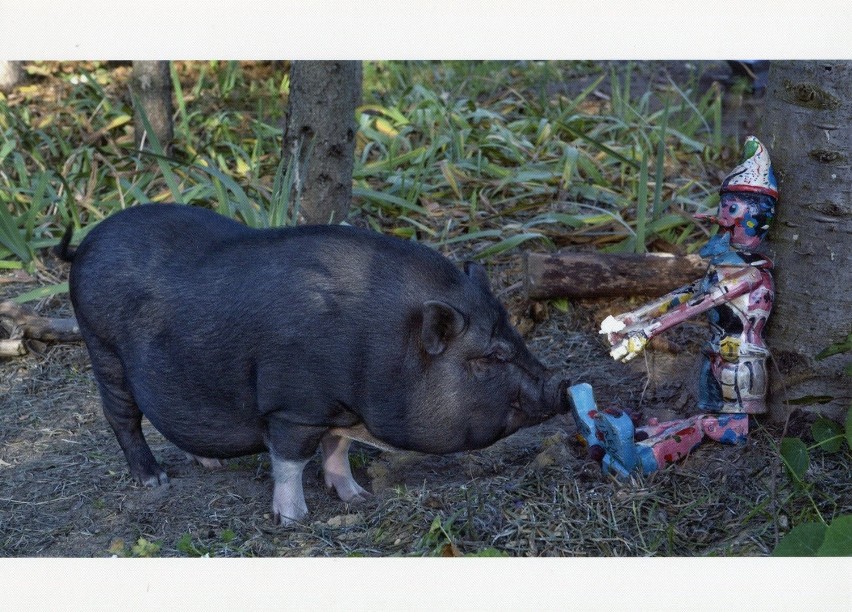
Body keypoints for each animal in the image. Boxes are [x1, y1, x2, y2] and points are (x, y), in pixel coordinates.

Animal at [56, 203, 568, 524]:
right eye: (490, 357)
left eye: (516, 337)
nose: (561, 384)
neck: (381, 342)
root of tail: (87, 242)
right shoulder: (293, 406)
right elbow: (291, 459)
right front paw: (294, 520)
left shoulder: (336, 408)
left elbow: (336, 448)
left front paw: (357, 498)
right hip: (101, 347)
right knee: (122, 416)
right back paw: (154, 480)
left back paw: (210, 465)